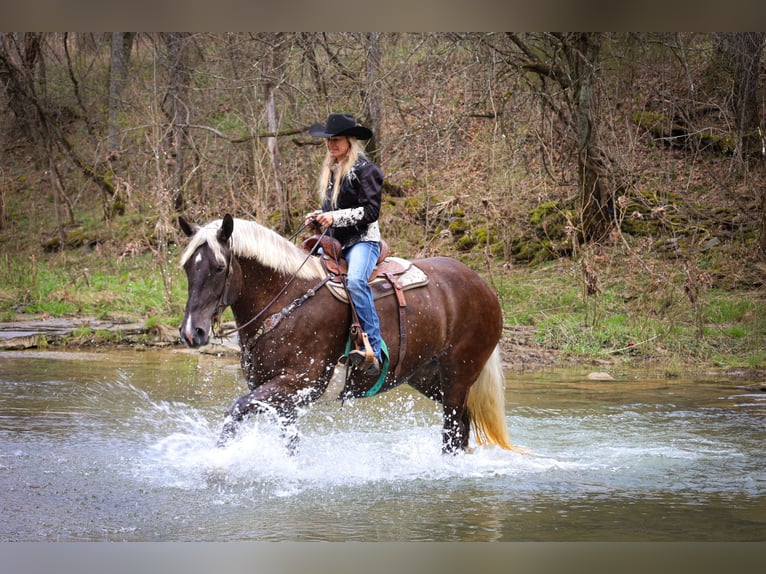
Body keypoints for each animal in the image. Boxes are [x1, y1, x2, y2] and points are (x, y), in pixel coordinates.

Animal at [177, 214, 520, 456]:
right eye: (187, 268)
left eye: (219, 268)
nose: (192, 331)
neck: (288, 298)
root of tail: (483, 286)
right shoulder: (283, 398)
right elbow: (289, 442)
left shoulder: (297, 382)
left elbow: (234, 411)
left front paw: (218, 463)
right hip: (429, 377)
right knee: (462, 424)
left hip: (458, 376)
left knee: (453, 429)